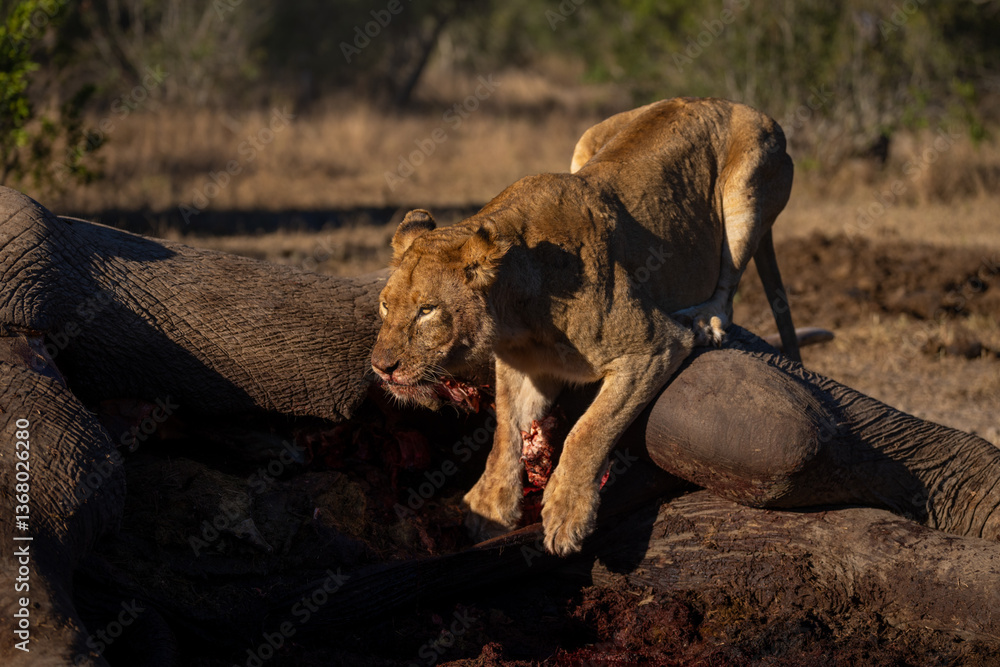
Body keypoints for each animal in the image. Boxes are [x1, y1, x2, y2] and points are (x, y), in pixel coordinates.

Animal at [371, 97, 798, 555]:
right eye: (385, 305)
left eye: (427, 310)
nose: (381, 368)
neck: (515, 316)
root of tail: (728, 101)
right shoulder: (524, 367)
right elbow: (505, 429)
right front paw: (489, 505)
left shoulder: (653, 345)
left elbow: (588, 430)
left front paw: (566, 512)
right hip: (586, 141)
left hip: (746, 188)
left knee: (729, 282)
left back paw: (706, 319)